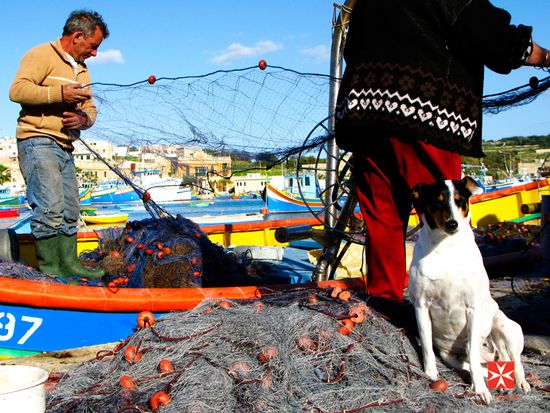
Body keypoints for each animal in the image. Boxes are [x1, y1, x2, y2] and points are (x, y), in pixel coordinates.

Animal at [410, 177, 532, 402]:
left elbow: (475, 358)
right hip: (452, 357)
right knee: (490, 366)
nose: (452, 224)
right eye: (437, 202)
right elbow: (427, 346)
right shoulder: (421, 306)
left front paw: (480, 390)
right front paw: (430, 373)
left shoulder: (472, 309)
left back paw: (520, 382)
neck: (446, 247)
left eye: (460, 201)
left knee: (515, 361)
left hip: (507, 328)